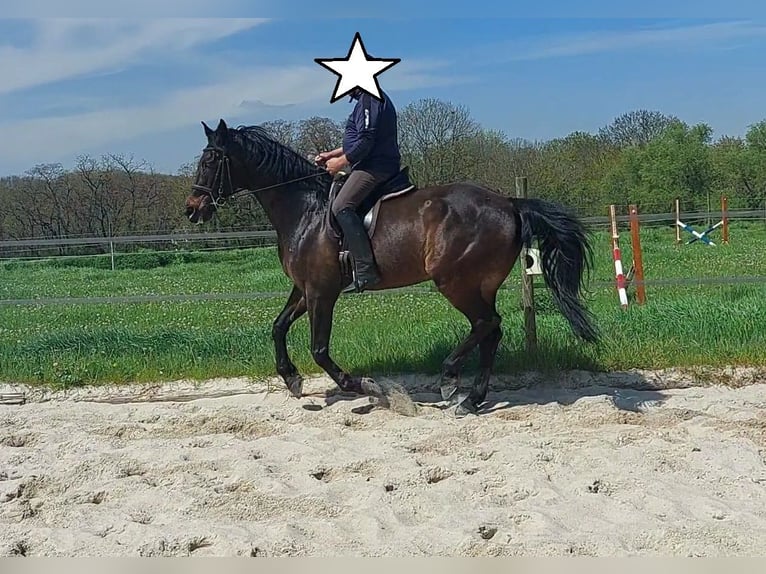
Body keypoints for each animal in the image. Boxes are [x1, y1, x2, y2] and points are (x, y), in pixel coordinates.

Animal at [185, 118, 599, 416]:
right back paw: (471, 398)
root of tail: (509, 203)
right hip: (480, 284)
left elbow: (319, 349)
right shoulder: (304, 289)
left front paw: (366, 387)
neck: (305, 210)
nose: (192, 209)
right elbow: (278, 326)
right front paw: (292, 379)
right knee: (491, 331)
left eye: (210, 161)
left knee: (486, 324)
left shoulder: (322, 292)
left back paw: (451, 382)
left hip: (454, 281)